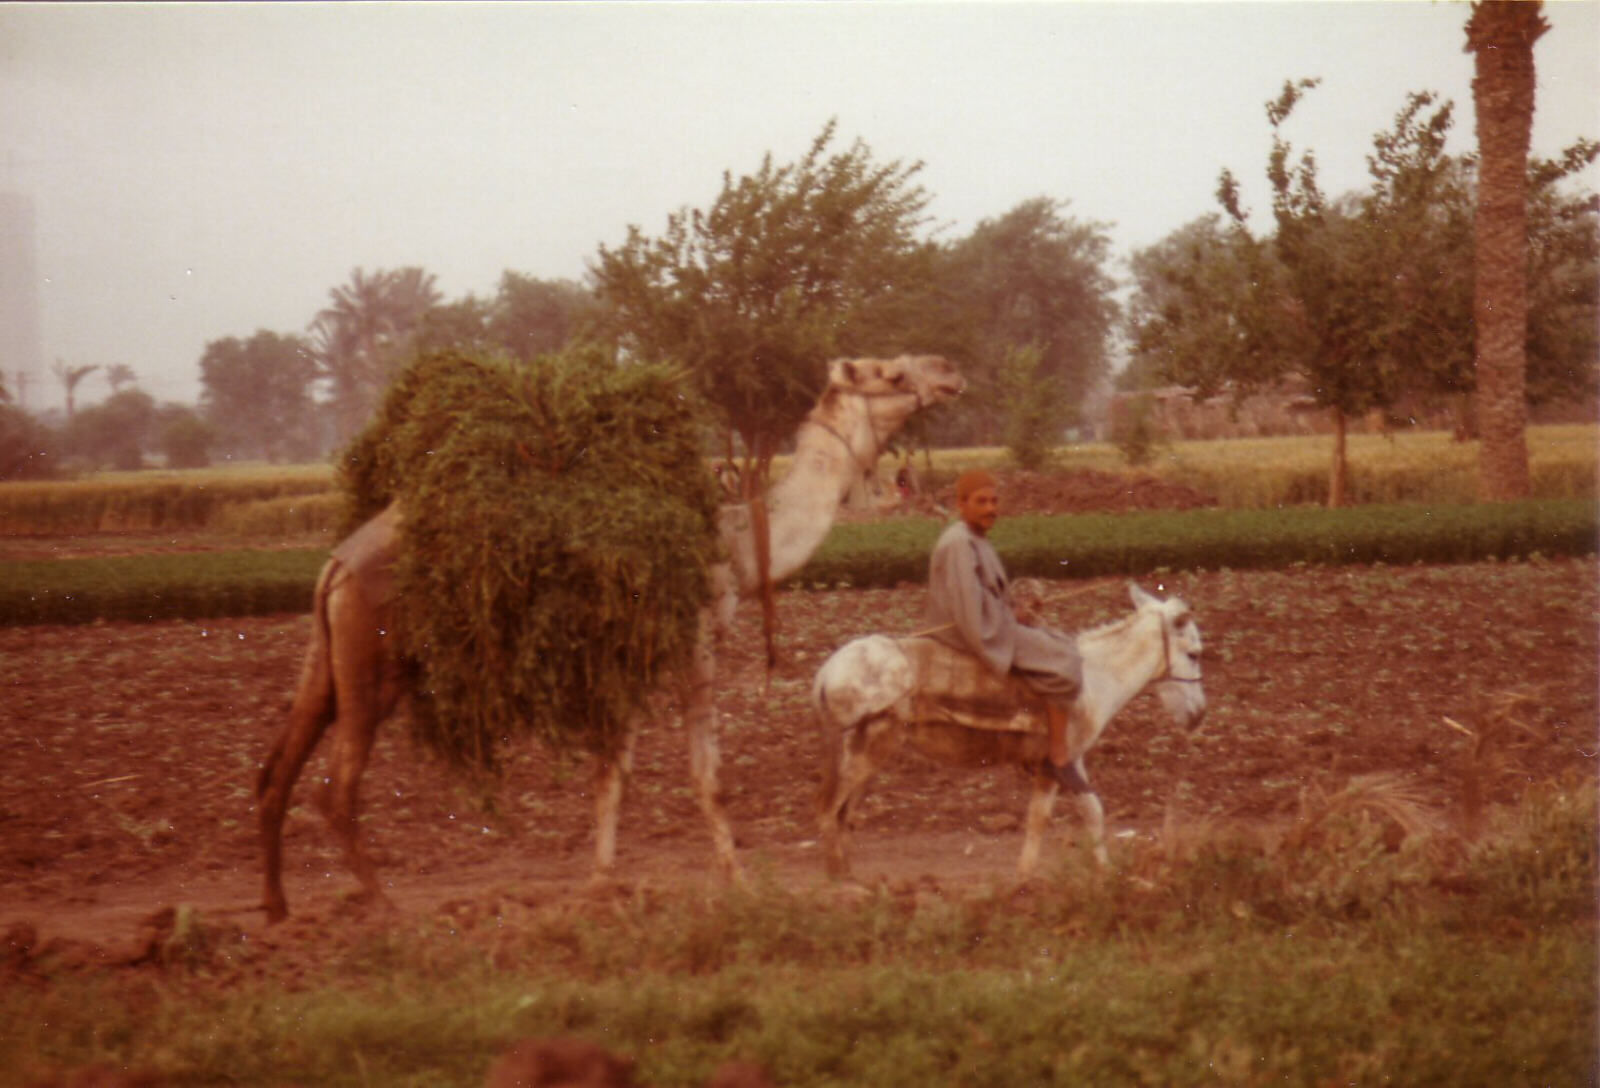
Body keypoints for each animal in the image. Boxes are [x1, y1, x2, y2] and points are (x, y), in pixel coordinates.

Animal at [256, 352, 960, 921]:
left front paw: (601, 885)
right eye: (889, 373)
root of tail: (335, 566)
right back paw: (382, 904)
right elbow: (704, 772)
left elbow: (611, 770)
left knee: (276, 770)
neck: (738, 543)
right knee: (335, 788)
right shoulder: (692, 641)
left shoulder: (628, 659)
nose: (948, 372)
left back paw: (279, 908)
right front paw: (738, 882)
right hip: (373, 665)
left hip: (331, 657)